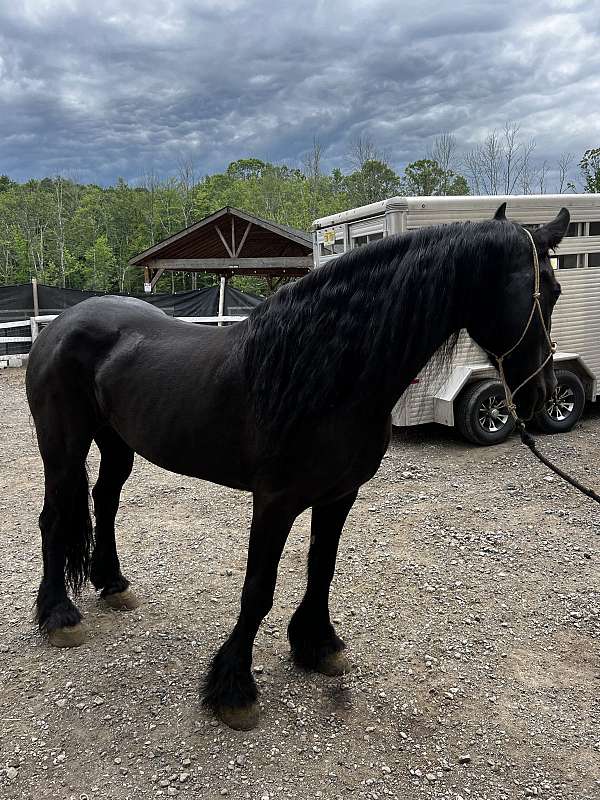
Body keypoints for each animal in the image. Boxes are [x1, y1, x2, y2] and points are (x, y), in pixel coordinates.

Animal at [24, 202, 568, 732]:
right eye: (544, 290)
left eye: (559, 289)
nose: (542, 396)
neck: (325, 372)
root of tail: (61, 324)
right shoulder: (275, 502)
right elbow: (258, 589)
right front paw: (234, 688)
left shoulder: (340, 494)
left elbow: (321, 568)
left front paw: (317, 645)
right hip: (63, 445)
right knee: (54, 518)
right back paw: (59, 616)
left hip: (117, 443)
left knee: (105, 501)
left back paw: (112, 584)